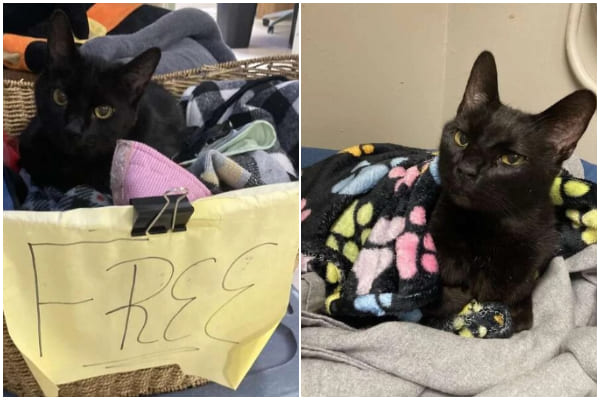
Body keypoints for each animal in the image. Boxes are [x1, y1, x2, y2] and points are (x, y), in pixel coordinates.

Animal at [424, 50, 596, 332]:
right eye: (462, 138)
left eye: (511, 159)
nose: (466, 169)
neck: (489, 230)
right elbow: (447, 297)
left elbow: (518, 306)